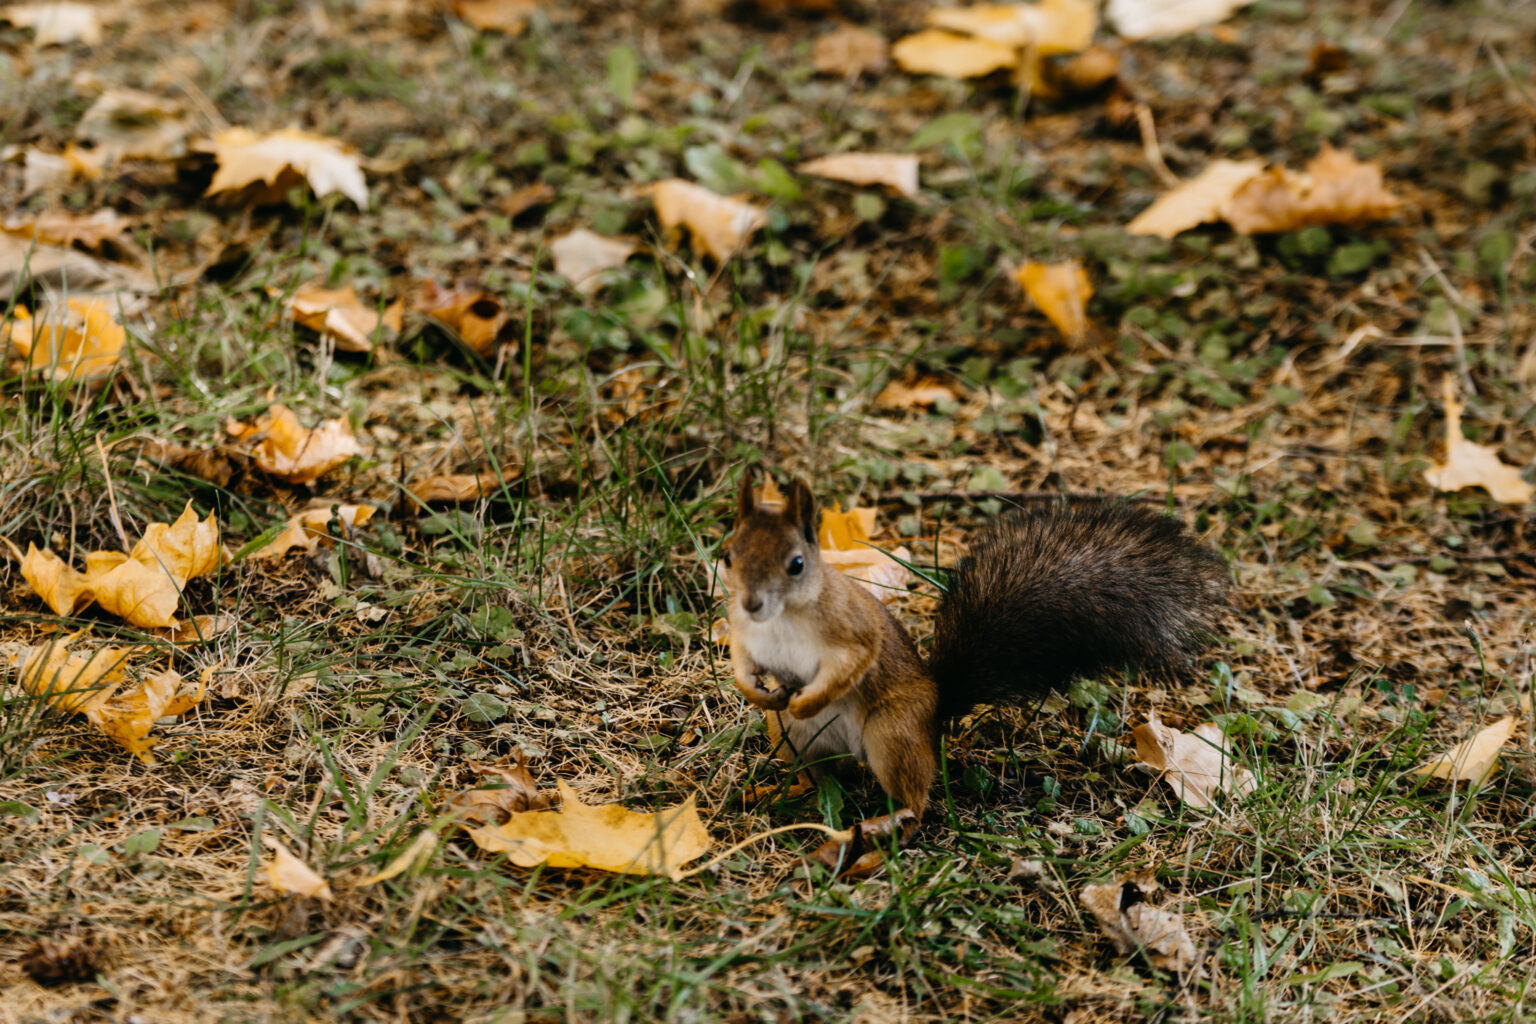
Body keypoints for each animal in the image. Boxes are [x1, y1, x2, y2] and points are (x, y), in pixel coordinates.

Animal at [721, 472, 1234, 859]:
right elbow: (741, 660)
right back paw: (786, 792)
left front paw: (808, 699)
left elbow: (851, 666)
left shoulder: (854, 632)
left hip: (892, 733)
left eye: (797, 564)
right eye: (728, 554)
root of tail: (936, 708)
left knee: (915, 800)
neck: (782, 619)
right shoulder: (744, 634)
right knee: (823, 778)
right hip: (789, 738)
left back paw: (887, 825)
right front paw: (756, 688)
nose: (751, 603)